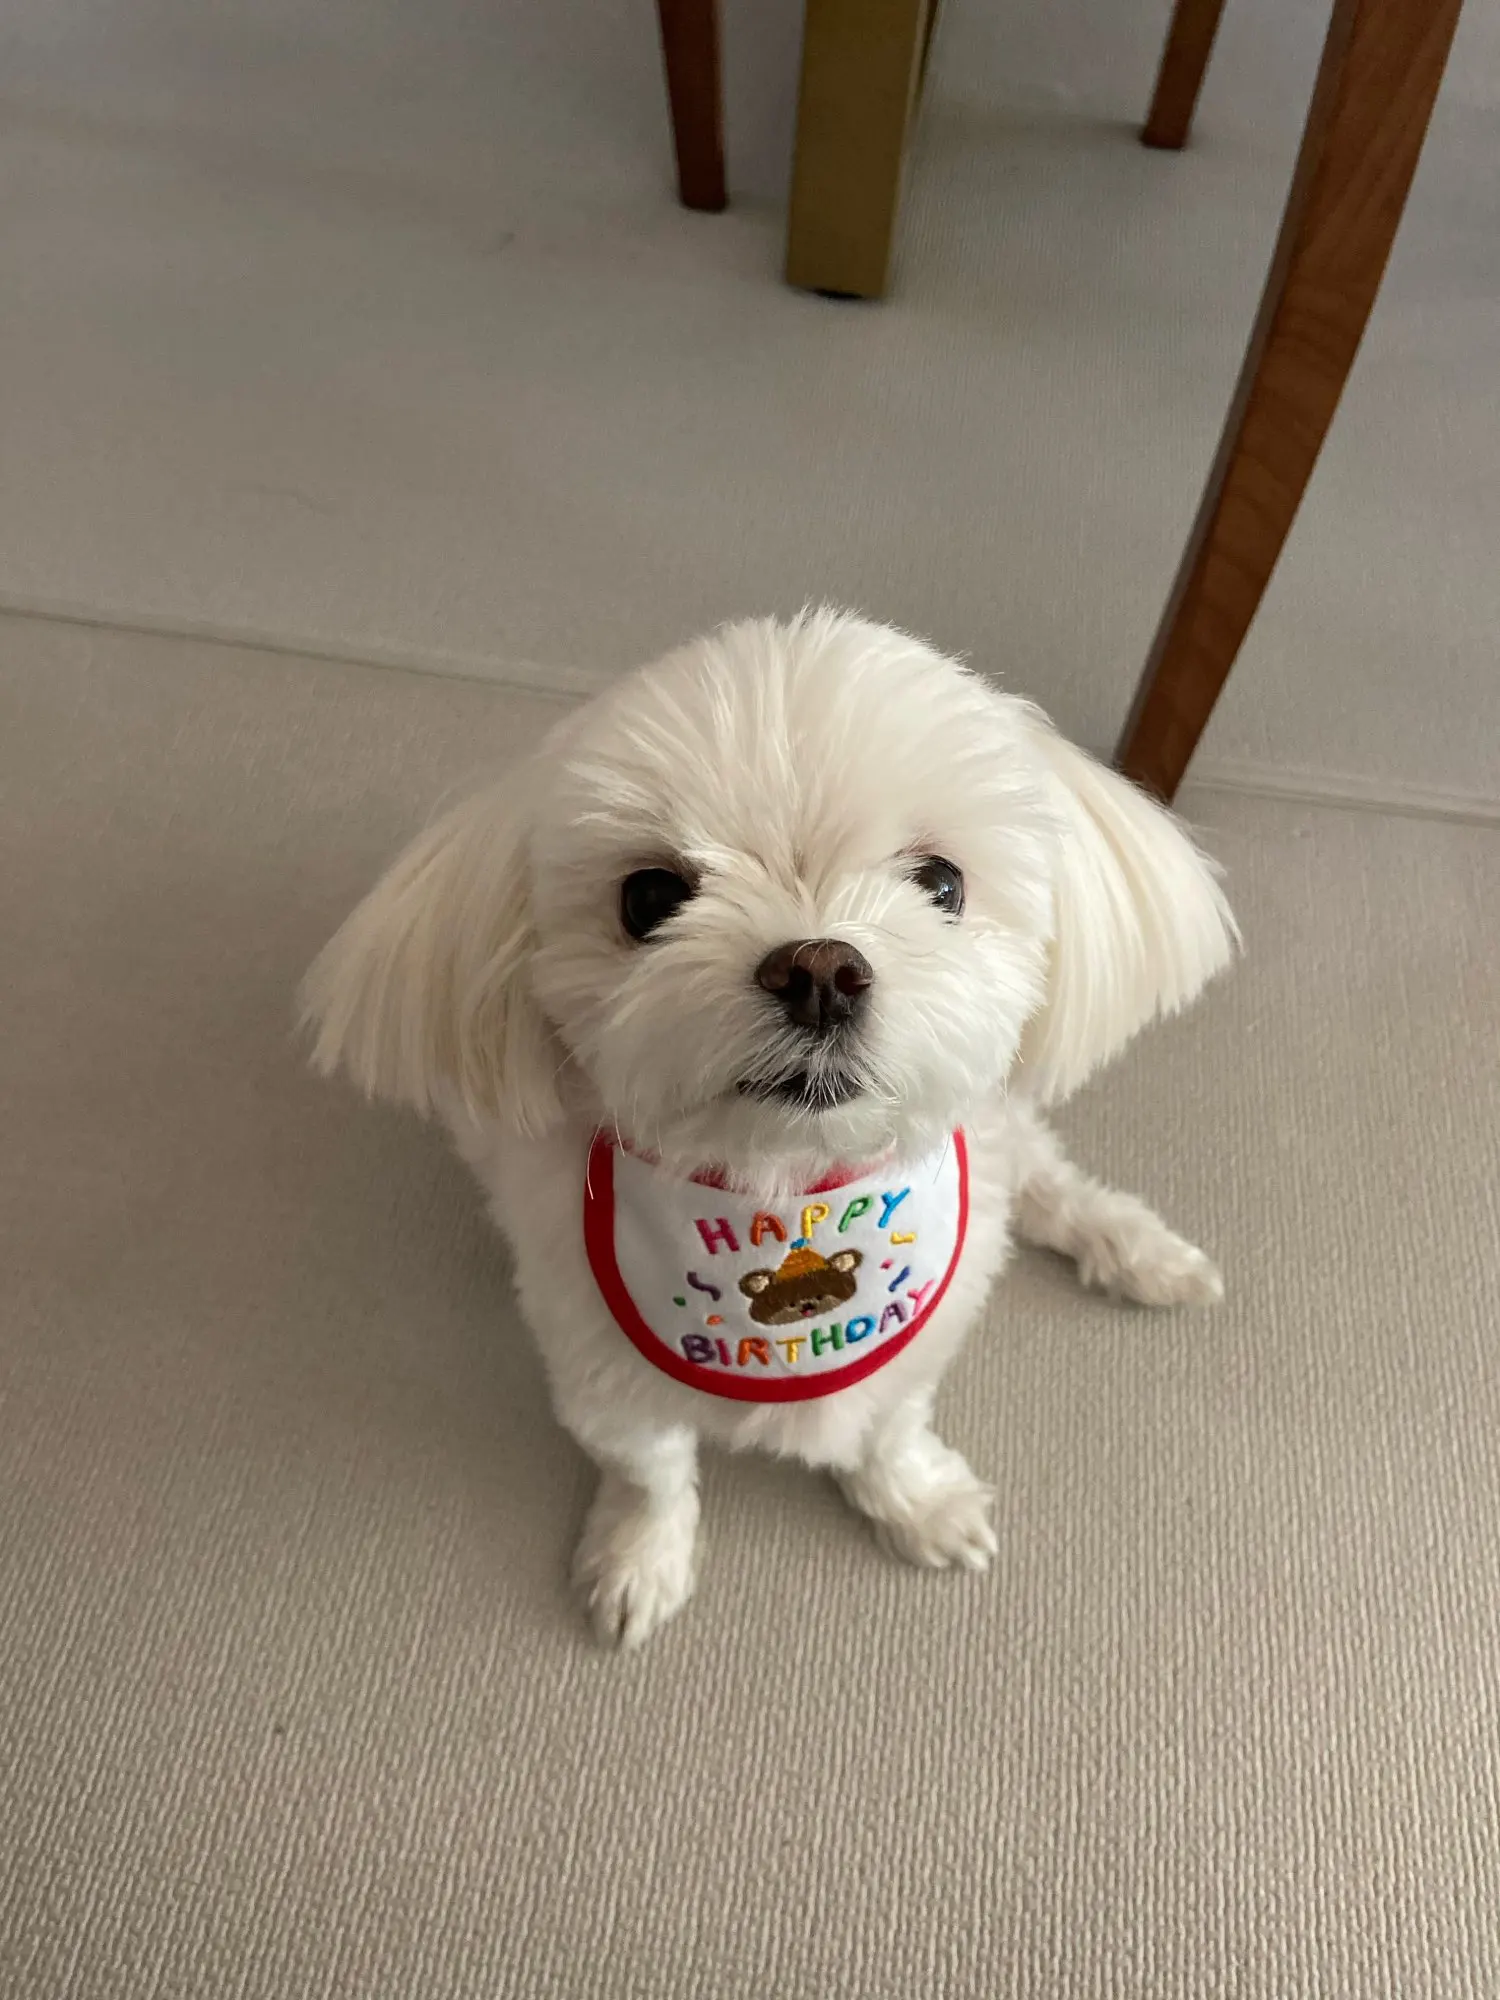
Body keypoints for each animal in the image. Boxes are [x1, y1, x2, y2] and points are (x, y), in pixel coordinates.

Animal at [302, 611, 1236, 1648]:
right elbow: (650, 1473)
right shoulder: (599, 1370)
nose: (820, 969)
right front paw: (639, 1559)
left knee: (1050, 1180)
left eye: (942, 883)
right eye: (649, 898)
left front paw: (916, 1501)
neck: (787, 1188)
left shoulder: (915, 1336)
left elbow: (890, 1428)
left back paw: (1140, 1252)